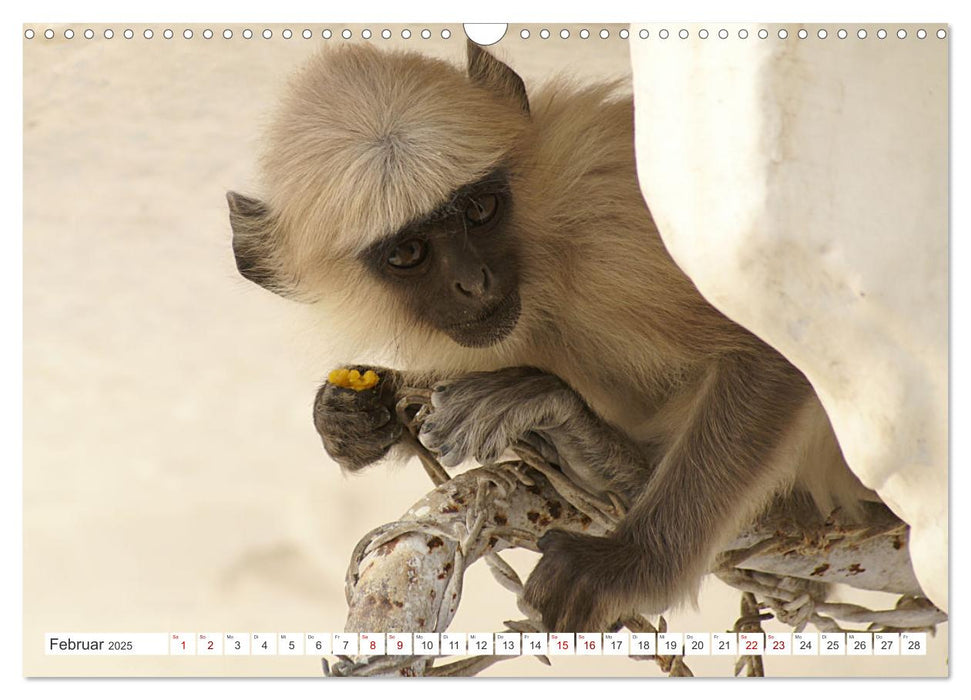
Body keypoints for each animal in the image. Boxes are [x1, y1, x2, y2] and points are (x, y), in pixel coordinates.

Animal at [230, 41, 880, 632]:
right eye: (409, 252)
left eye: (481, 211)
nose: (474, 281)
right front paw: (357, 416)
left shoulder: (610, 223)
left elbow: (778, 349)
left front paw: (629, 564)